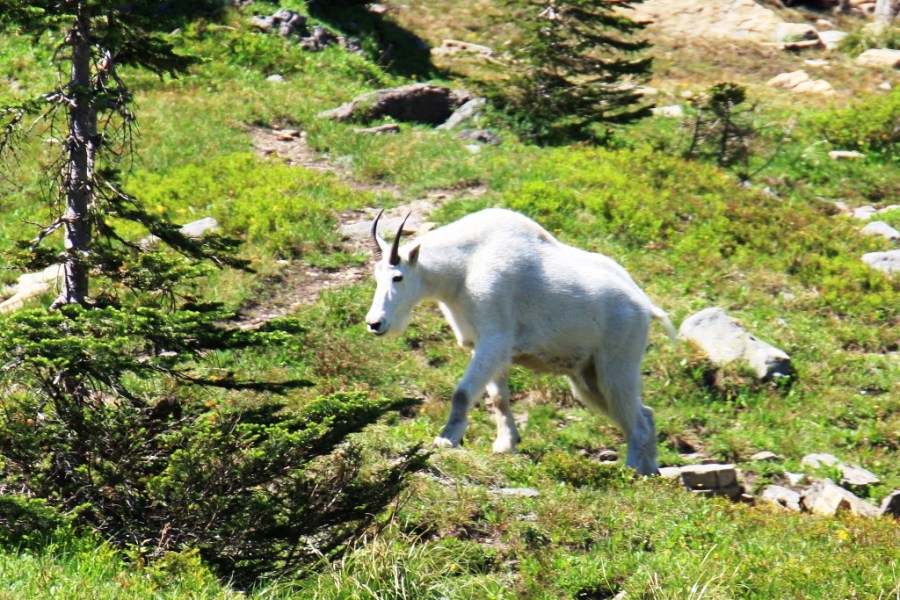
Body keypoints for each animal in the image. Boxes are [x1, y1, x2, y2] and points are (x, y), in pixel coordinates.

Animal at [365, 208, 675, 475]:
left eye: (398, 276)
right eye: (376, 276)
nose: (375, 323)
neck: (464, 267)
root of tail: (645, 307)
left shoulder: (495, 339)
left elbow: (463, 392)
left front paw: (447, 438)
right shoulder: (487, 347)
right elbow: (499, 398)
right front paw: (505, 444)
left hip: (617, 364)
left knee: (637, 422)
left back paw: (630, 471)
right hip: (587, 376)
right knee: (645, 413)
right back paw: (650, 470)